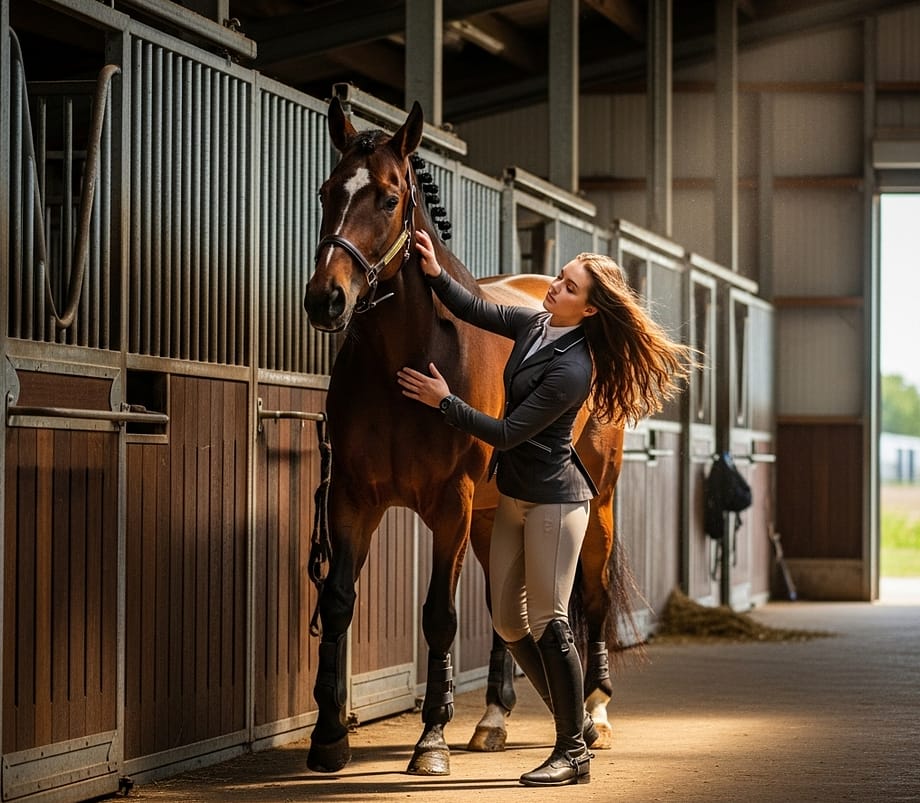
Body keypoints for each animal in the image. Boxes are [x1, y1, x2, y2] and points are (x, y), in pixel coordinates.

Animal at [303, 97, 630, 776]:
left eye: (390, 198)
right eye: (327, 191)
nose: (326, 299)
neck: (405, 358)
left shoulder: (449, 506)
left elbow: (439, 615)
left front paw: (430, 740)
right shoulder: (351, 498)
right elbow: (340, 599)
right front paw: (328, 737)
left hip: (597, 505)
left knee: (590, 598)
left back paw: (596, 714)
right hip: (494, 514)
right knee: (515, 607)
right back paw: (495, 719)